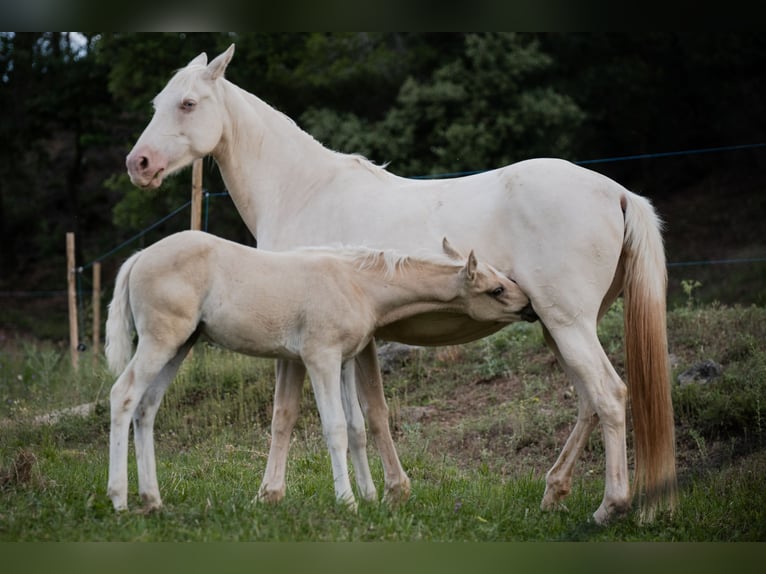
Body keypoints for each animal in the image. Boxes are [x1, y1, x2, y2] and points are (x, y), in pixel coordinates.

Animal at [105, 230, 532, 512]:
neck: (357, 283)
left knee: (147, 407)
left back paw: (153, 500)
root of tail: (139, 257)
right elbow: (336, 428)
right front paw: (347, 502)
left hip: (180, 345)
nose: (529, 305)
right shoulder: (320, 358)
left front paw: (370, 496)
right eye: (496, 290)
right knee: (123, 395)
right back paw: (120, 500)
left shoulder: (343, 360)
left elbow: (357, 428)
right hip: (161, 340)